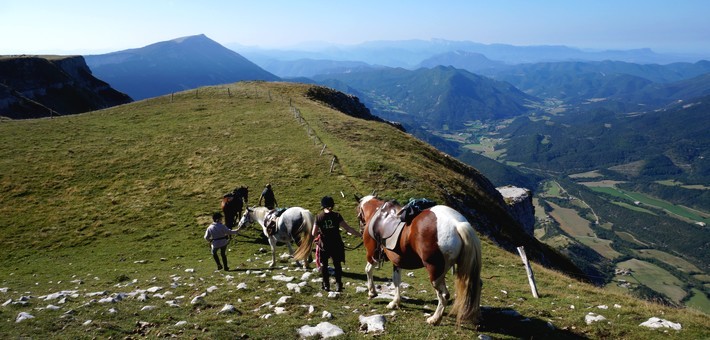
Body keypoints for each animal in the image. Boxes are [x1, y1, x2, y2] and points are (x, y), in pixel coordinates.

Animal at [356, 195, 484, 326]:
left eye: (358, 214)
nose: (361, 230)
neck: (376, 213)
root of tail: (456, 224)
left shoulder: (373, 255)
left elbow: (368, 270)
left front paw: (372, 292)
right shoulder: (397, 262)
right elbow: (396, 280)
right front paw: (395, 302)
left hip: (435, 272)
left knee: (443, 295)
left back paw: (435, 319)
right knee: (477, 285)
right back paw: (474, 315)